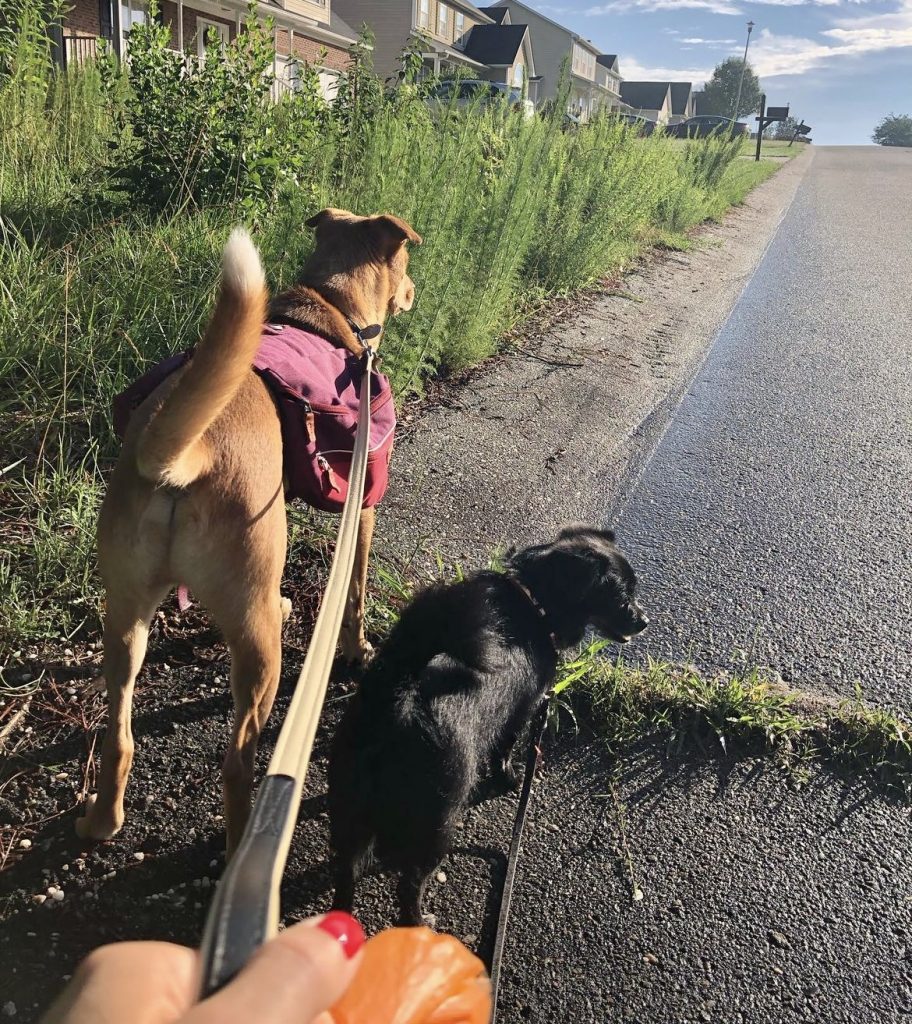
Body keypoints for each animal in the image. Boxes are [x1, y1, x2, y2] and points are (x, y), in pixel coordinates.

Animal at [78, 209, 421, 856]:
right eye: (407, 260)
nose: (414, 290)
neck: (330, 302)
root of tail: (181, 460)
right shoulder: (361, 505)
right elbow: (356, 593)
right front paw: (357, 649)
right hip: (259, 643)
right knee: (238, 761)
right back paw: (240, 841)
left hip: (126, 616)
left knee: (118, 732)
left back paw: (103, 819)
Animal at [327, 524, 650, 925]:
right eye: (621, 597)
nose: (644, 620)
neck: (536, 601)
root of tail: (401, 698)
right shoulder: (523, 709)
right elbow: (505, 750)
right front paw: (511, 779)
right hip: (438, 821)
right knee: (408, 886)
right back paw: (420, 922)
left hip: (348, 805)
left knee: (345, 873)